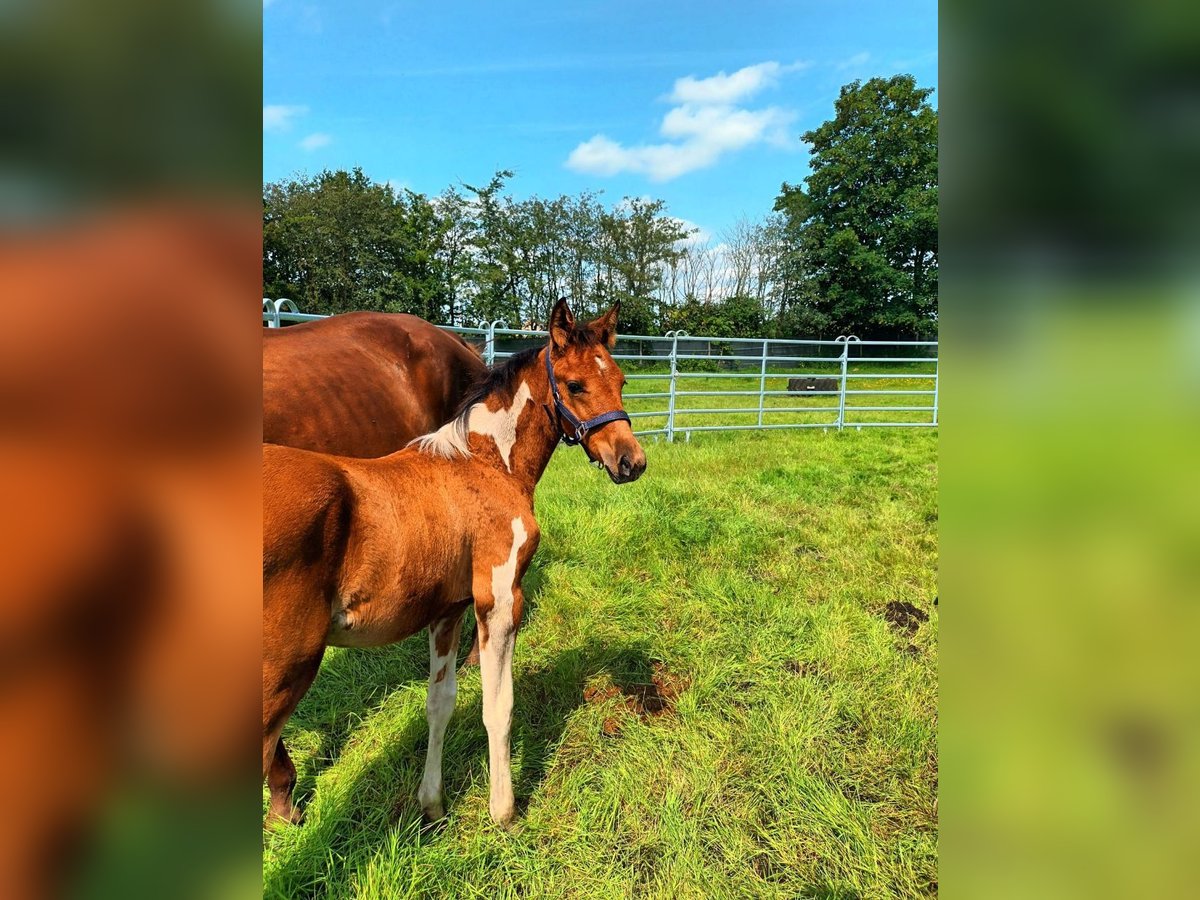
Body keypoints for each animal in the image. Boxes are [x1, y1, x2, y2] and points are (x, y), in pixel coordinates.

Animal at [258, 303, 643, 830]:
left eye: (621, 380)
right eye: (575, 384)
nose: (631, 461)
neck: (485, 462)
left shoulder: (447, 611)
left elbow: (439, 703)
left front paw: (432, 805)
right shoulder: (498, 600)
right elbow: (498, 706)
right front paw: (503, 811)